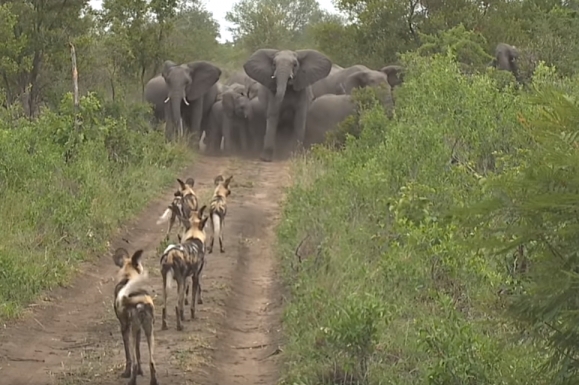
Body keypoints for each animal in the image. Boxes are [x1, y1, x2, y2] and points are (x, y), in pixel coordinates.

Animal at [112, 246, 159, 384]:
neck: (128, 276)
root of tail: (141, 303)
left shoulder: (125, 328)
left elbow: (129, 357)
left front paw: (127, 373)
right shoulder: (138, 330)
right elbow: (138, 354)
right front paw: (140, 372)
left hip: (133, 331)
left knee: (133, 361)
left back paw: (131, 380)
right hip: (149, 332)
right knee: (151, 361)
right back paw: (153, 381)